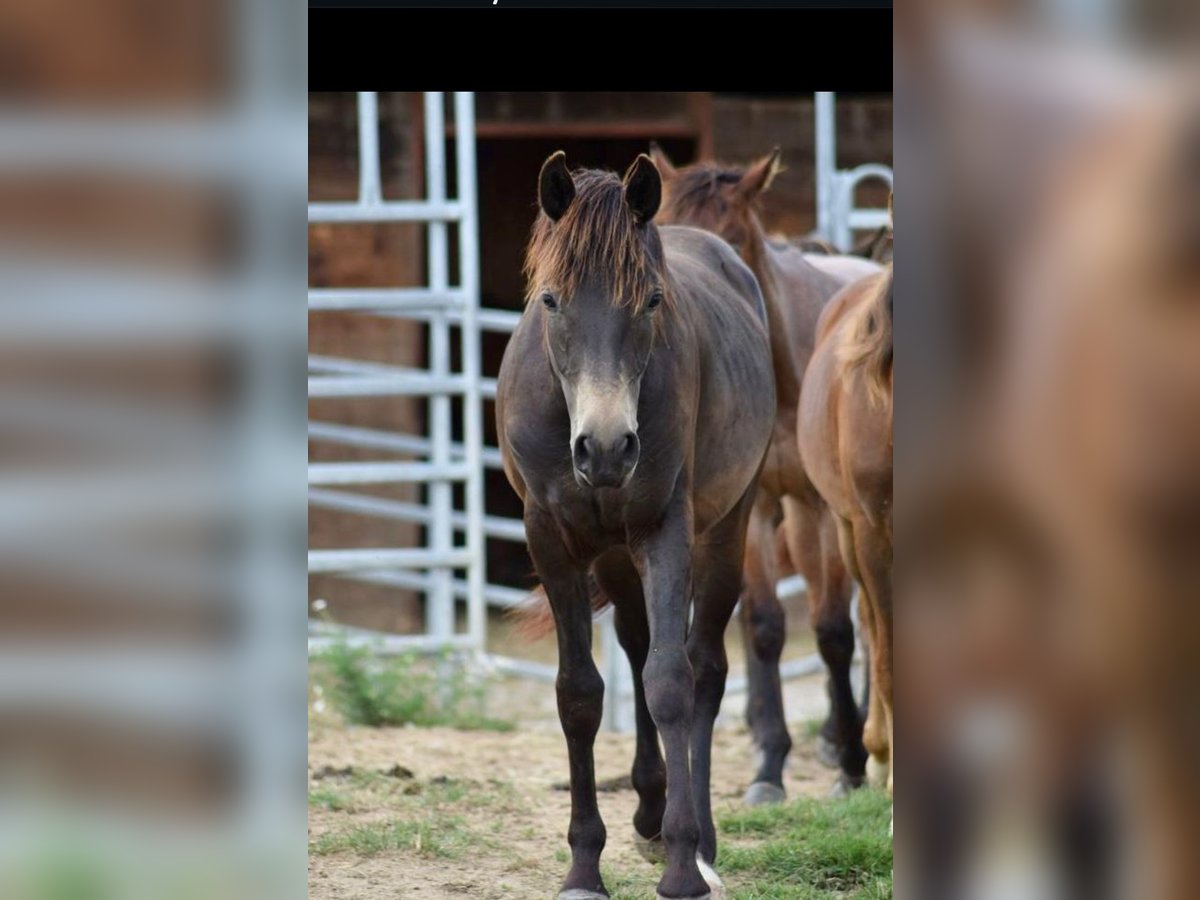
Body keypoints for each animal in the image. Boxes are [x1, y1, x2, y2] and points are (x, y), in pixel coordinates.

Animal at [499, 153, 772, 900]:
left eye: (650, 300)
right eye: (551, 300)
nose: (606, 449)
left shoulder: (664, 529)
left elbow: (670, 682)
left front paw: (683, 865)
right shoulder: (553, 540)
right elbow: (579, 694)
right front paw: (583, 867)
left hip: (725, 533)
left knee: (704, 667)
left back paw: (697, 837)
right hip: (616, 558)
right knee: (633, 638)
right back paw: (649, 808)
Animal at [652, 144, 878, 801]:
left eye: (731, 239)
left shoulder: (819, 508)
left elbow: (831, 630)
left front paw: (851, 760)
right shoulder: (752, 508)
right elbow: (764, 629)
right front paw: (770, 767)